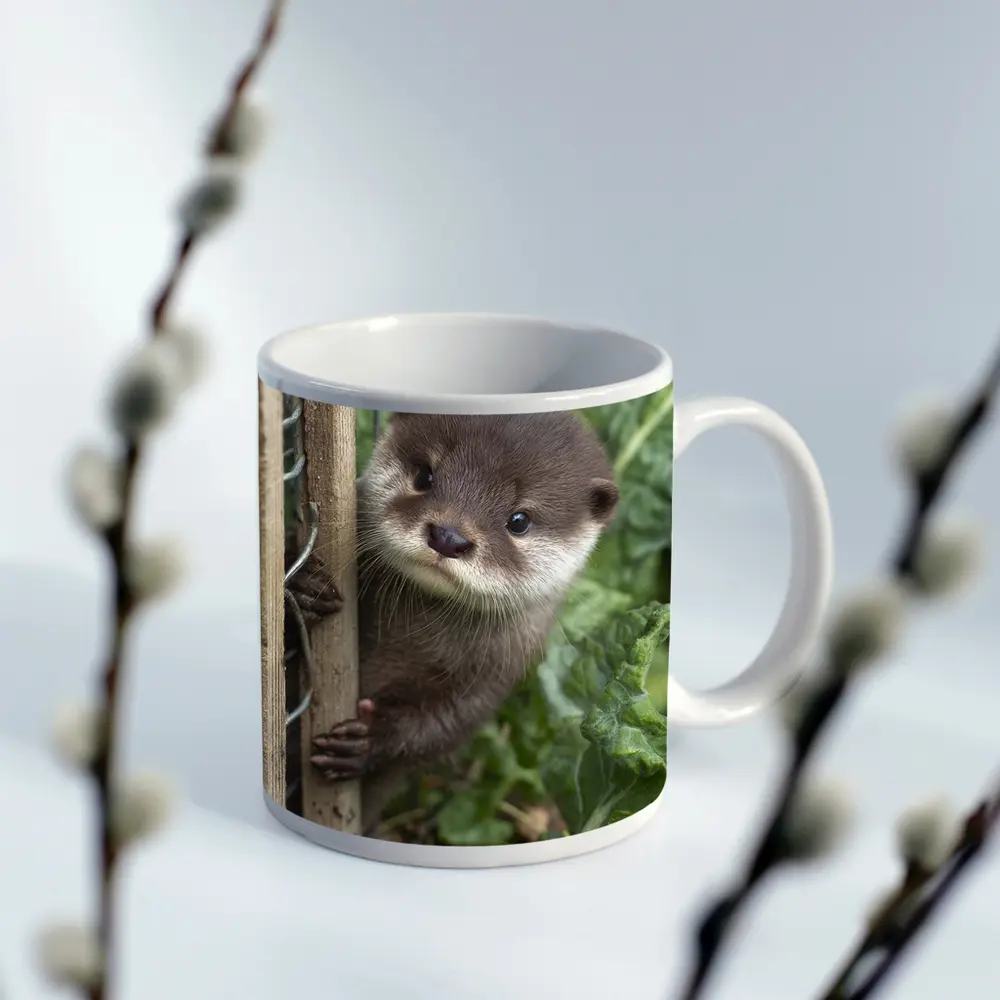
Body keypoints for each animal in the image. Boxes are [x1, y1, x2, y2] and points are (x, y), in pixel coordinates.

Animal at [287, 411, 619, 833]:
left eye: (519, 520)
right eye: (424, 476)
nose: (448, 536)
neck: (410, 639)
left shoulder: (495, 675)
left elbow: (445, 727)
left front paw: (370, 740)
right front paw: (303, 585)